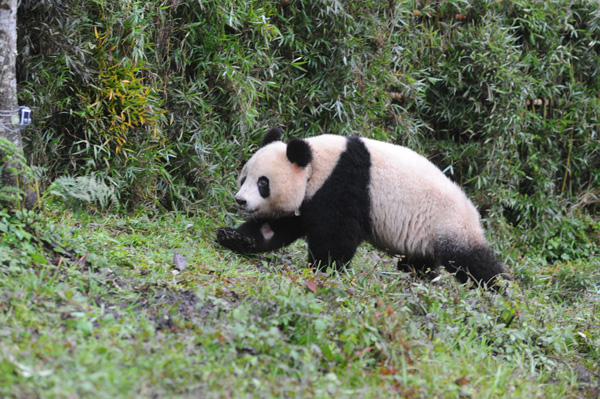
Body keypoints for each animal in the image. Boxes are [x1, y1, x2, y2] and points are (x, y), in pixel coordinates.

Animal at [218, 128, 508, 288]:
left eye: (263, 183)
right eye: (244, 178)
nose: (240, 200)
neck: (316, 164)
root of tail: (473, 211)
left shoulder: (344, 184)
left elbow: (336, 235)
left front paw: (323, 268)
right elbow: (276, 228)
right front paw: (232, 237)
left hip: (449, 223)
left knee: (470, 261)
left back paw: (499, 291)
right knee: (420, 262)